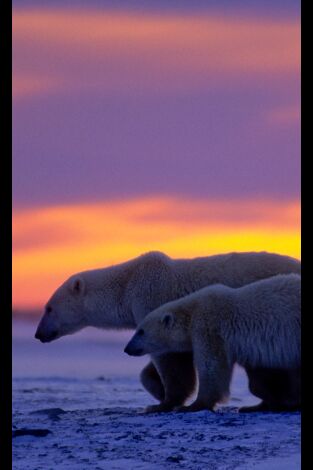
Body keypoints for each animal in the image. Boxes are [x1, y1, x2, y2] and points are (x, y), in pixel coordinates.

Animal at [34, 250, 300, 412]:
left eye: (48, 308)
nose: (38, 334)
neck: (127, 286)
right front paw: (157, 389)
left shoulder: (153, 299)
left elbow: (171, 358)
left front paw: (164, 402)